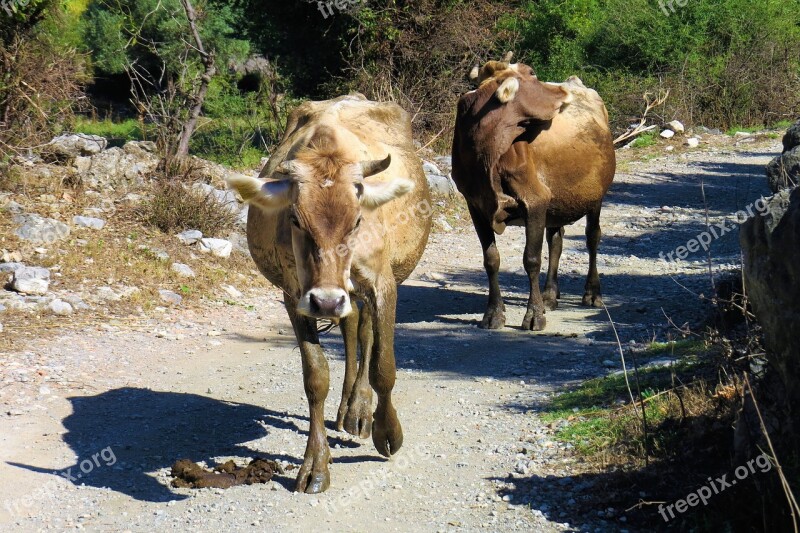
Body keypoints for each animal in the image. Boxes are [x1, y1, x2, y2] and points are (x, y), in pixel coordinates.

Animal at [225, 93, 432, 492]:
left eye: (357, 220)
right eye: (294, 218)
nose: (327, 300)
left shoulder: (382, 284)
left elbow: (383, 366)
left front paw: (388, 432)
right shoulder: (296, 295)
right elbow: (316, 376)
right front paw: (316, 464)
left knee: (365, 335)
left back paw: (360, 411)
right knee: (352, 331)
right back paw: (347, 408)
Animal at [454, 60, 616, 330]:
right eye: (532, 73)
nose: (562, 90)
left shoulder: (535, 200)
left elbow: (531, 259)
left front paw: (534, 315)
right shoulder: (475, 205)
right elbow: (491, 259)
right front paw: (494, 313)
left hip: (596, 195)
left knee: (593, 237)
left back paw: (592, 293)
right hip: (558, 201)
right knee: (556, 241)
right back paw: (550, 294)